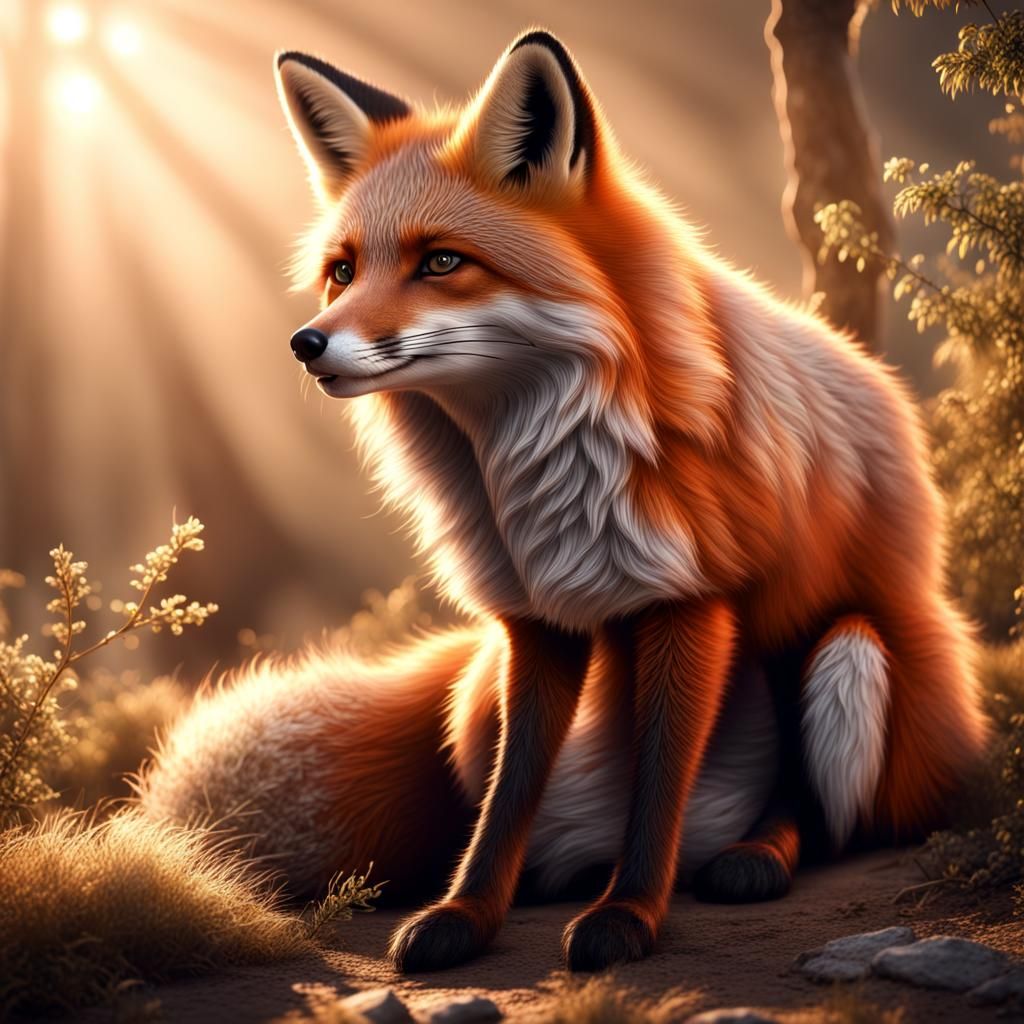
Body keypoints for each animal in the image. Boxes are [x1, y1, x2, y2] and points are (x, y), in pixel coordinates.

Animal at [139, 30, 988, 974]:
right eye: (343, 271)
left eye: (441, 261)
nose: (306, 343)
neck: (541, 476)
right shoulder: (533, 622)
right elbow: (509, 798)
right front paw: (466, 915)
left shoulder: (690, 602)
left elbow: (657, 785)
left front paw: (628, 917)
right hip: (470, 704)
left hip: (849, 650)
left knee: (812, 808)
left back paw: (750, 857)